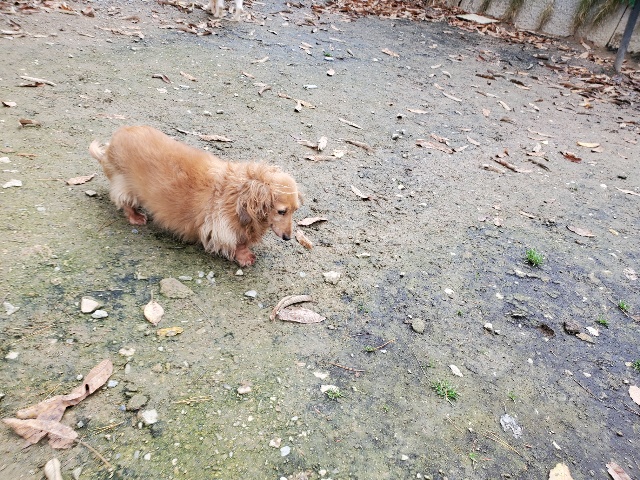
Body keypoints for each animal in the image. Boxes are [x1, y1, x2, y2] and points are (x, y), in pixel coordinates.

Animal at [89, 126, 301, 267]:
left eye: (295, 211)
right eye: (282, 211)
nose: (288, 238)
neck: (240, 195)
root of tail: (111, 145)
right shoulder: (221, 226)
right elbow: (236, 243)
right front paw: (244, 256)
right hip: (124, 183)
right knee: (124, 201)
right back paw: (135, 216)